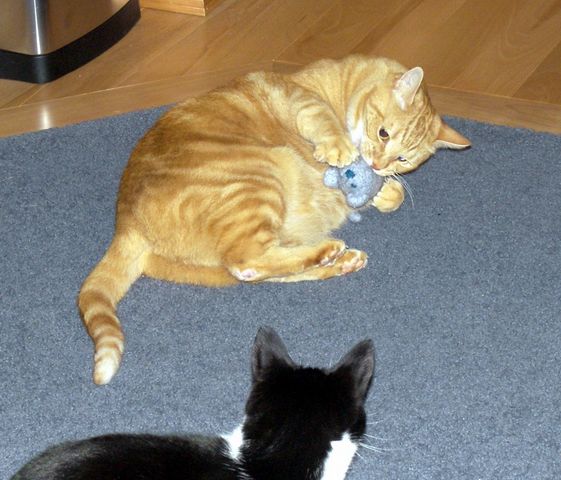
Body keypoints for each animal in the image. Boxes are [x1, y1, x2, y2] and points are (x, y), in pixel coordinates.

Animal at [78, 54, 470, 384]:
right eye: (383, 133)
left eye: (404, 158)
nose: (376, 164)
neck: (343, 88)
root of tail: (125, 220)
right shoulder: (301, 99)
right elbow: (324, 120)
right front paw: (343, 150)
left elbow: (396, 193)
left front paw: (386, 191)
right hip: (261, 177)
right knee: (247, 260)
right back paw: (330, 252)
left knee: (259, 269)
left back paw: (336, 259)